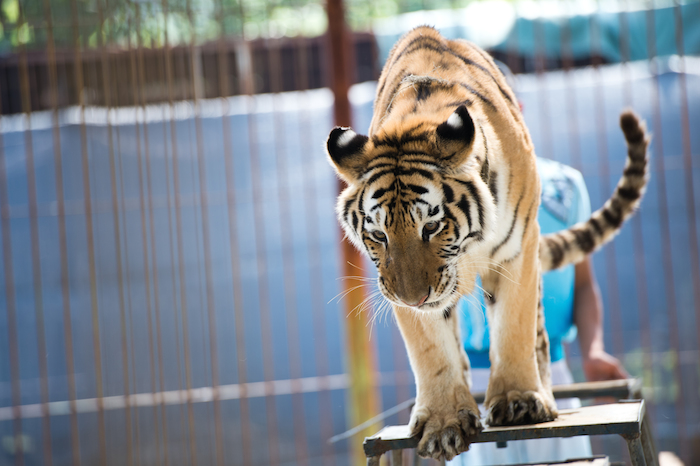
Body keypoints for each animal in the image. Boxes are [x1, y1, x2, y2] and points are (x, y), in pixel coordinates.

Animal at [326, 26, 648, 462]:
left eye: (432, 226)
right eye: (379, 235)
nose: (413, 297)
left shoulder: (517, 251)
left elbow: (513, 325)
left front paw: (518, 402)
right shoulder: (399, 290)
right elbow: (430, 350)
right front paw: (444, 421)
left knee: (537, 335)